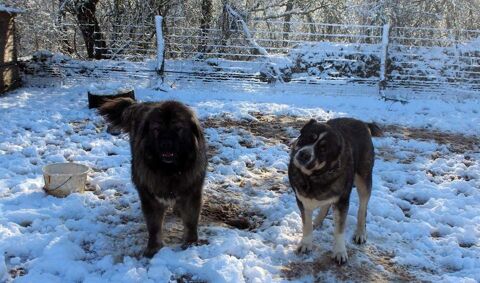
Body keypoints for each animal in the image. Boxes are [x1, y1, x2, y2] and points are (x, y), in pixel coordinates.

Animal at [99, 98, 206, 258]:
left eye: (178, 128)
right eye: (157, 129)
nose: (166, 143)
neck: (170, 171)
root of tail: (141, 104)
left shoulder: (192, 192)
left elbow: (191, 221)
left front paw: (191, 242)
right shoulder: (149, 196)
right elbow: (154, 225)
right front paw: (154, 247)